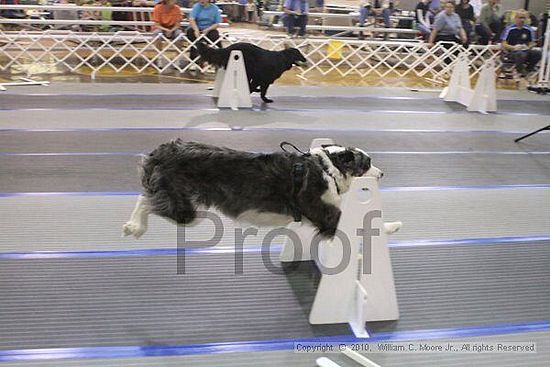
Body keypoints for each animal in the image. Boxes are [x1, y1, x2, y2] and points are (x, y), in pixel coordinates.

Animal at [123, 140, 392, 239]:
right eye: (367, 163)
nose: (382, 174)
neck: (328, 168)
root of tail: (163, 150)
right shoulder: (323, 211)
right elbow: (360, 224)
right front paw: (390, 227)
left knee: (145, 196)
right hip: (185, 210)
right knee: (147, 201)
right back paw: (135, 226)